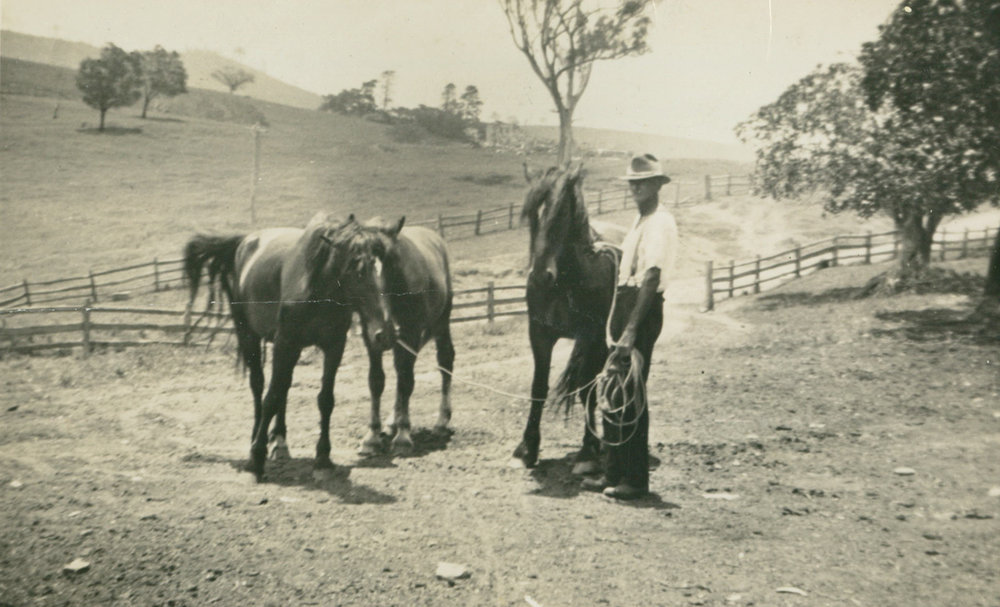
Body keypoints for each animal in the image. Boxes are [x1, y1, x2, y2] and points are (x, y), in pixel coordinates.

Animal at [183, 213, 400, 481]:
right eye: (356, 269)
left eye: (387, 267)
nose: (386, 334)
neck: (317, 288)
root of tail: (245, 241)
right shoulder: (284, 342)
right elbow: (270, 397)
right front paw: (256, 458)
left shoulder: (333, 346)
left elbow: (325, 399)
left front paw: (323, 458)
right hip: (250, 336)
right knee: (259, 385)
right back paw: (257, 437)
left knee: (284, 387)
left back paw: (279, 442)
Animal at [357, 221, 455, 457]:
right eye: (360, 272)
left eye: (391, 266)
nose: (385, 331)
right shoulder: (371, 338)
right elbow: (376, 381)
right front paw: (372, 437)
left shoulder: (410, 333)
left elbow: (407, 381)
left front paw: (403, 436)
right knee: (399, 369)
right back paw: (392, 420)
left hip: (441, 322)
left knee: (444, 361)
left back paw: (441, 421)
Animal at [511, 164, 623, 474]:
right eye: (531, 215)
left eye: (562, 214)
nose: (539, 276)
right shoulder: (539, 333)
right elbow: (538, 386)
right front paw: (528, 447)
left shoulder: (589, 335)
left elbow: (586, 387)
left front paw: (587, 451)